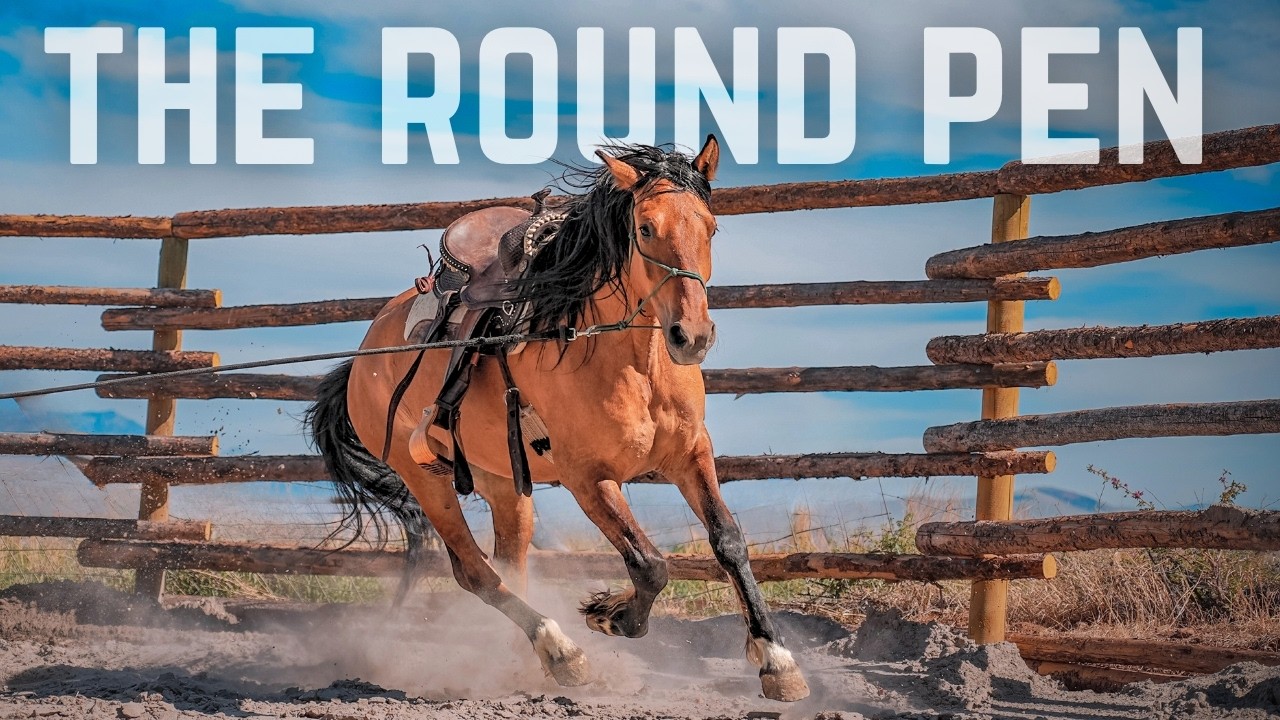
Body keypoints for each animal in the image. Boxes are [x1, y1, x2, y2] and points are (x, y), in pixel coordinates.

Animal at [306, 136, 810, 702]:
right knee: (475, 572)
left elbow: (729, 542)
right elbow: (649, 564)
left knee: (510, 562)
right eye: (645, 228)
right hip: (425, 478)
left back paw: (525, 663)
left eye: (711, 227)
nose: (692, 335)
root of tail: (362, 358)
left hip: (504, 483)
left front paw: (777, 661)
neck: (631, 363)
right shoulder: (588, 478)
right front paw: (609, 615)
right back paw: (561, 651)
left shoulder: (690, 454)